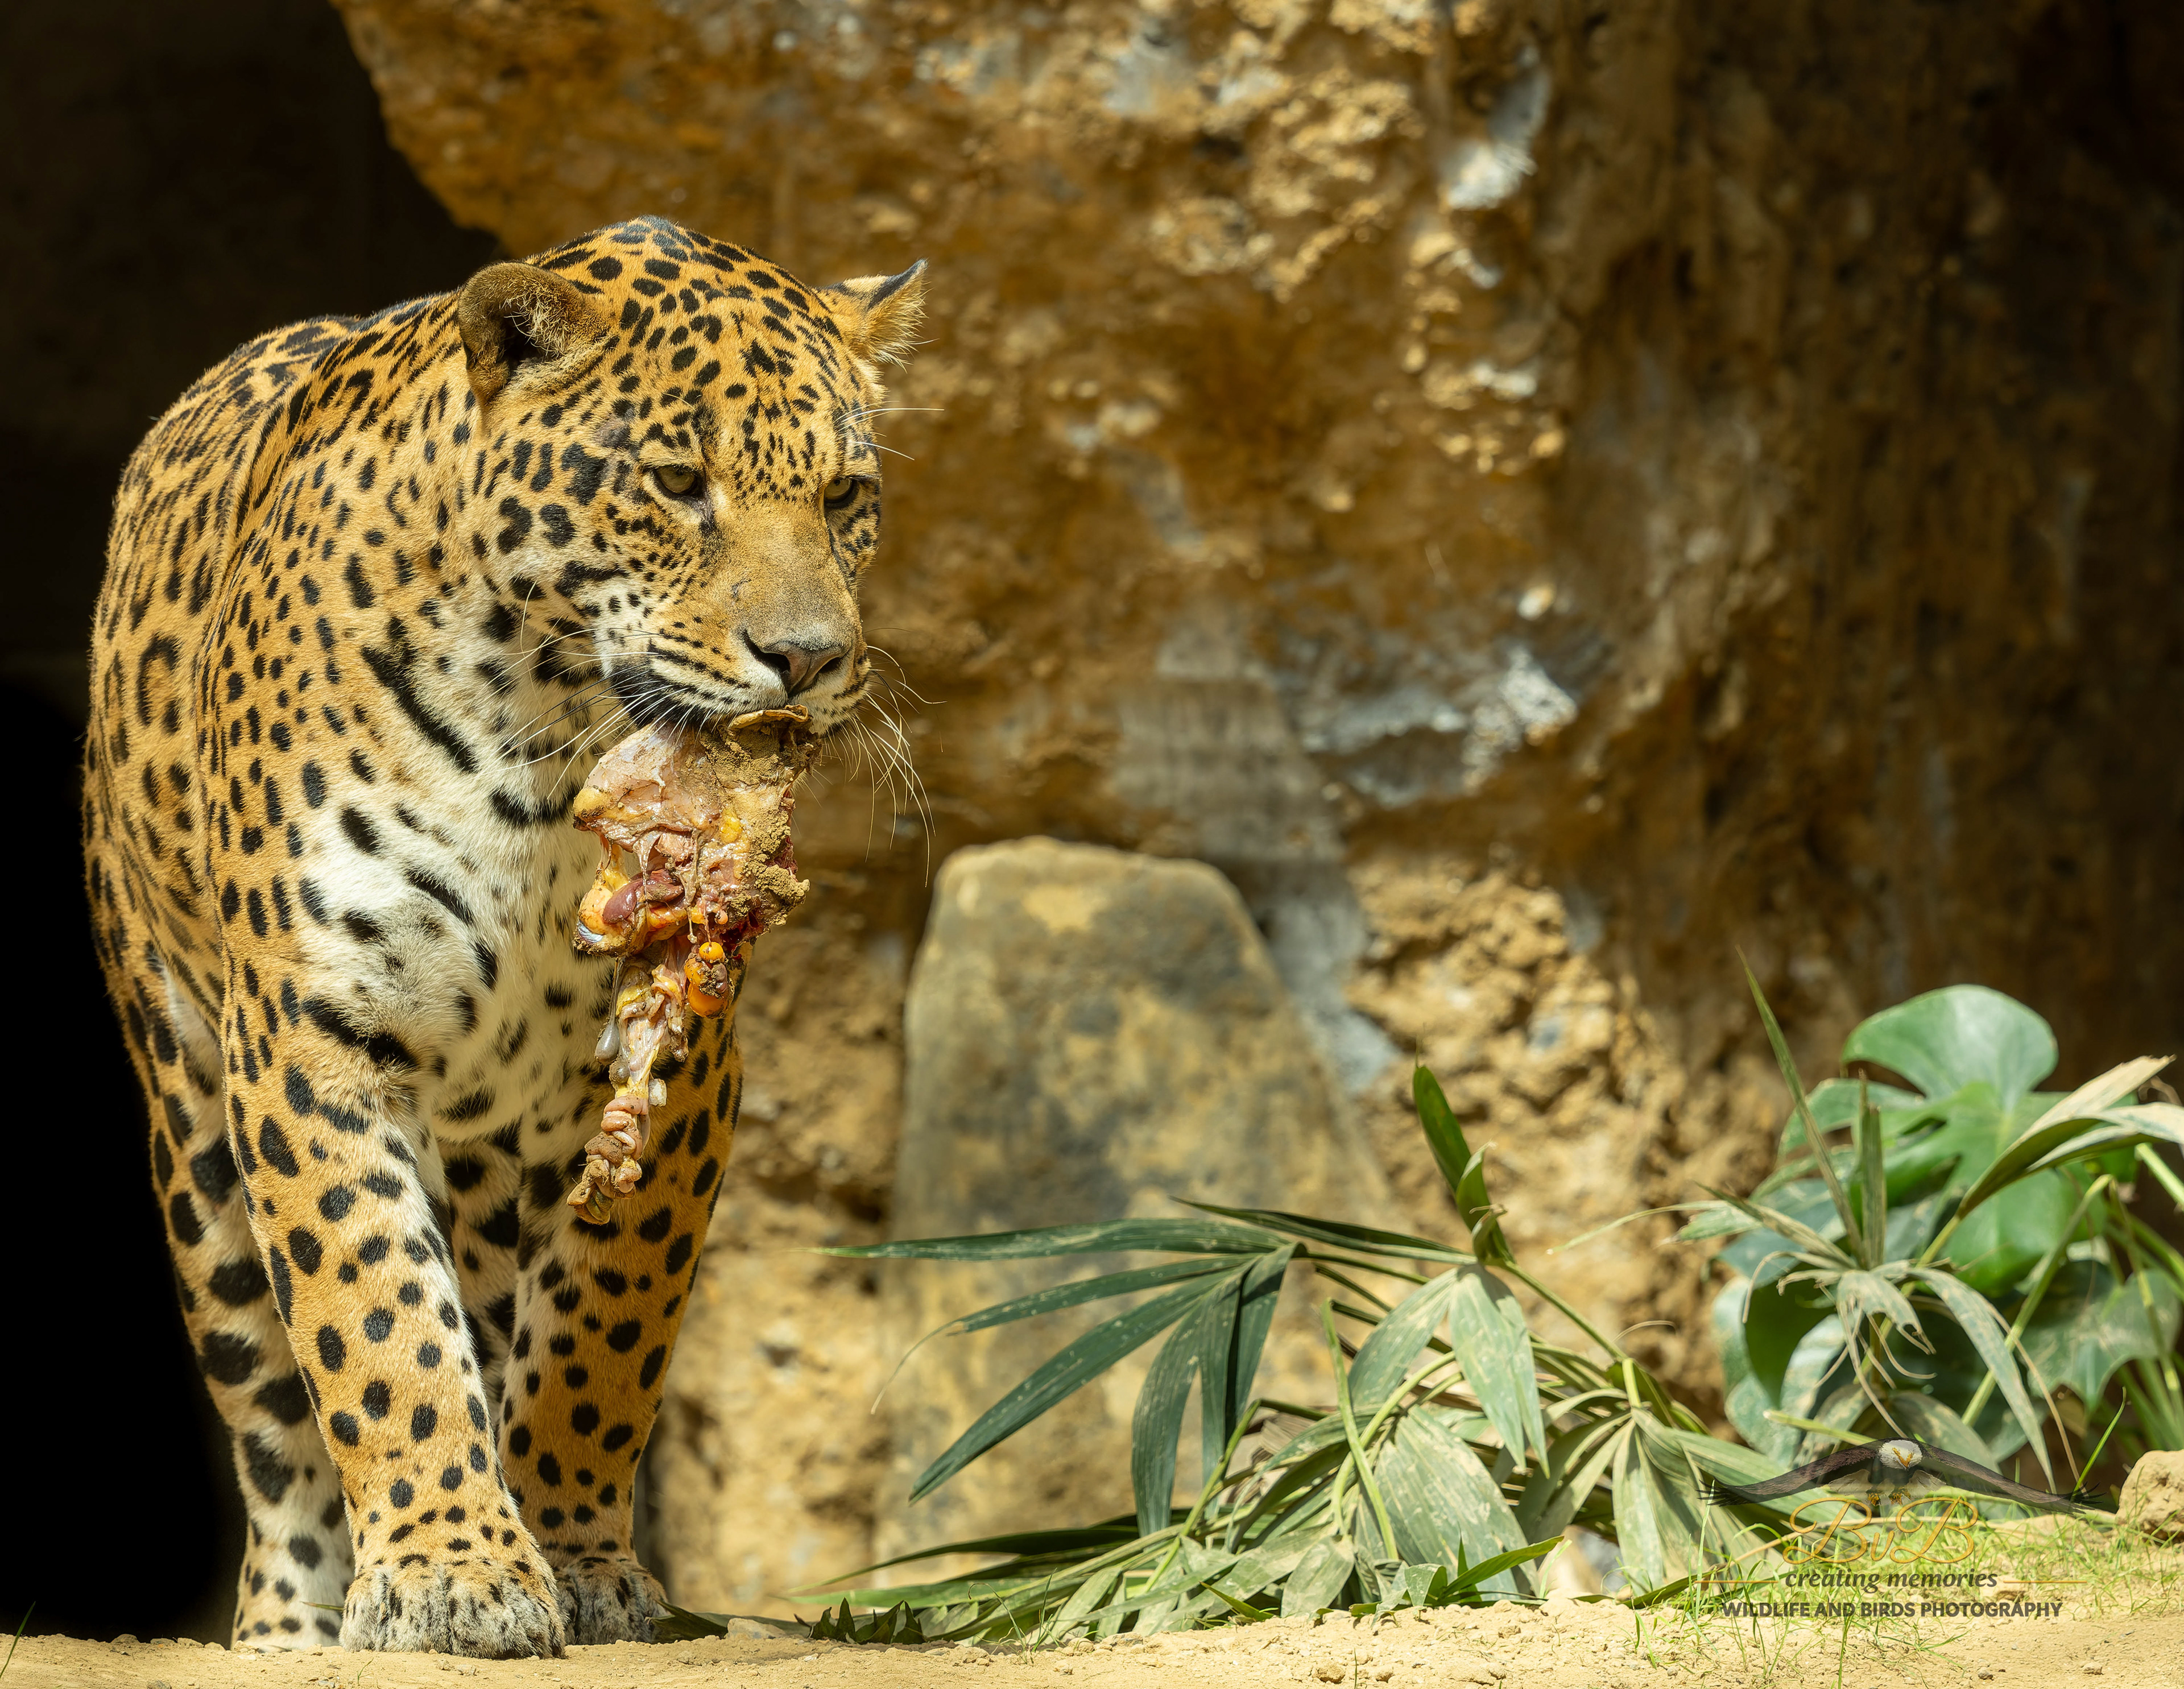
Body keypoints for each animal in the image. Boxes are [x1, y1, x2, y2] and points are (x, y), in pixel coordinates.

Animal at [82, 215, 925, 1658]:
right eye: (677, 484)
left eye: (844, 498)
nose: (812, 658)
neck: (548, 732)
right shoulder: (313, 1033)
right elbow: (370, 1308)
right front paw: (449, 1569)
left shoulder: (679, 1057)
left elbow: (605, 1325)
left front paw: (576, 1554)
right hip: (188, 1118)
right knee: (272, 1406)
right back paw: (294, 1622)